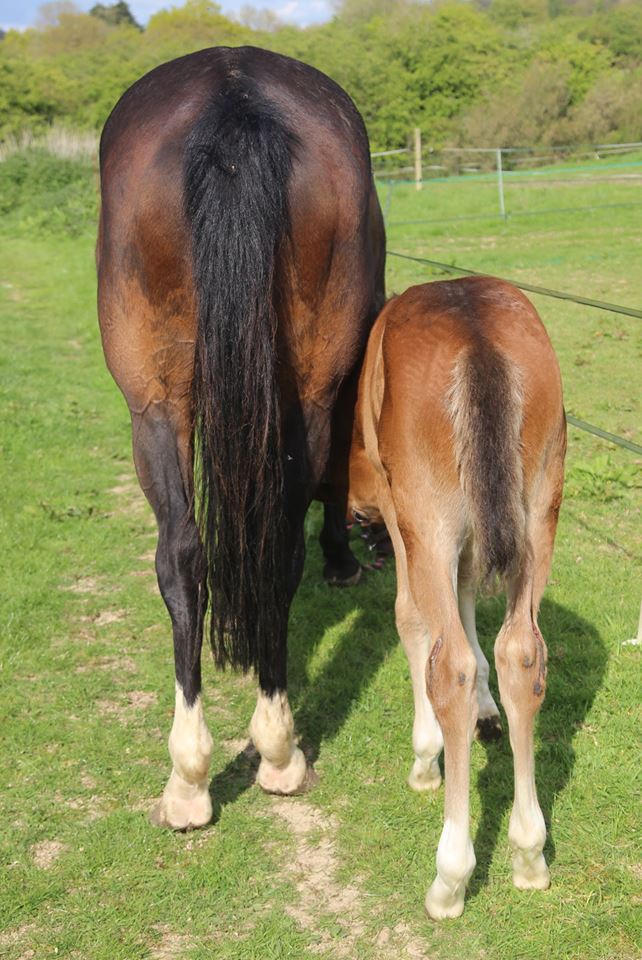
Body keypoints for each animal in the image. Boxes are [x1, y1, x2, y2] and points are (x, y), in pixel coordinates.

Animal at [97, 45, 385, 829]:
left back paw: (209, 773)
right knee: (234, 551)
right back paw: (250, 760)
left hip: (156, 405)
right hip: (251, 397)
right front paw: (342, 558)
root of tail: (232, 100)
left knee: (190, 554)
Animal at [348, 276, 566, 918]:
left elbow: (413, 622)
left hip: (429, 519)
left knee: (450, 666)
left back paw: (450, 876)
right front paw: (487, 714)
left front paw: (426, 756)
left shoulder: (405, 517)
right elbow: (469, 606)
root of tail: (477, 339)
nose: (354, 509)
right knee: (522, 652)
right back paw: (529, 853)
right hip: (538, 511)